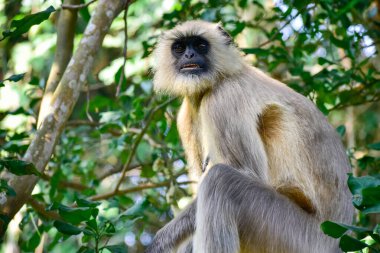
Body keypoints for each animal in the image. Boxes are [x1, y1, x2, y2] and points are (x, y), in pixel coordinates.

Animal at [145, 20, 354, 253]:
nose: (189, 55)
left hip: (299, 236)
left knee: (220, 181)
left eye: (200, 45)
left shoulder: (224, 97)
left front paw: (161, 241)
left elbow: (247, 172)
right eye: (180, 48)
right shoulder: (185, 116)